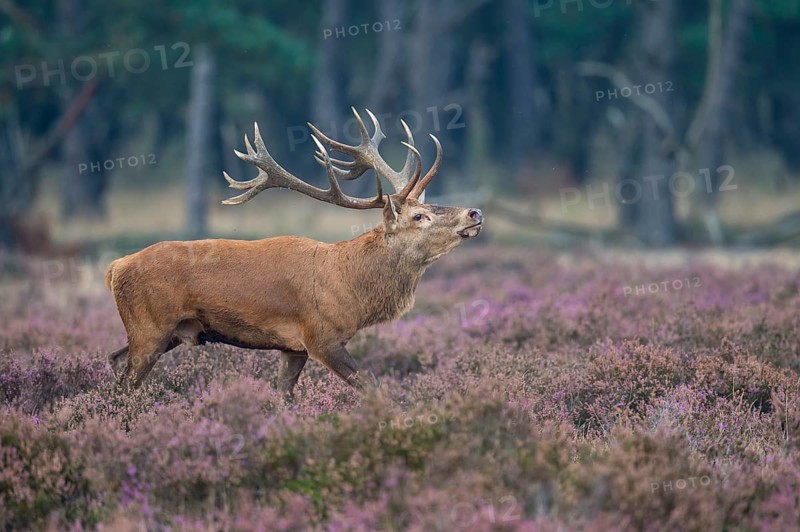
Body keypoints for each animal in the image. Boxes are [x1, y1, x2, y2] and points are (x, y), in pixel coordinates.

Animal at [105, 108, 483, 396]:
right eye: (419, 216)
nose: (474, 212)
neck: (353, 289)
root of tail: (116, 267)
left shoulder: (293, 348)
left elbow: (283, 396)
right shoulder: (321, 337)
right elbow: (373, 387)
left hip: (166, 332)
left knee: (113, 359)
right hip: (149, 327)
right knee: (125, 384)